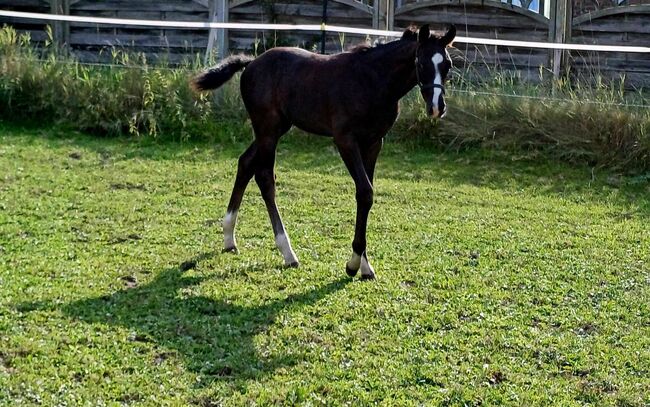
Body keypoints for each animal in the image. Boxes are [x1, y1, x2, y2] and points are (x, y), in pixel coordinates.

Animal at [195, 24, 454, 280]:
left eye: (448, 64)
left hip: (277, 128)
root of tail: (252, 63)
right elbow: (364, 192)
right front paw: (353, 264)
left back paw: (229, 237)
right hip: (267, 129)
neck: (372, 81)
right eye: (421, 63)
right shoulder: (345, 140)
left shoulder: (374, 142)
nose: (436, 107)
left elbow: (367, 192)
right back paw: (288, 253)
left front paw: (365, 266)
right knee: (265, 177)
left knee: (245, 163)